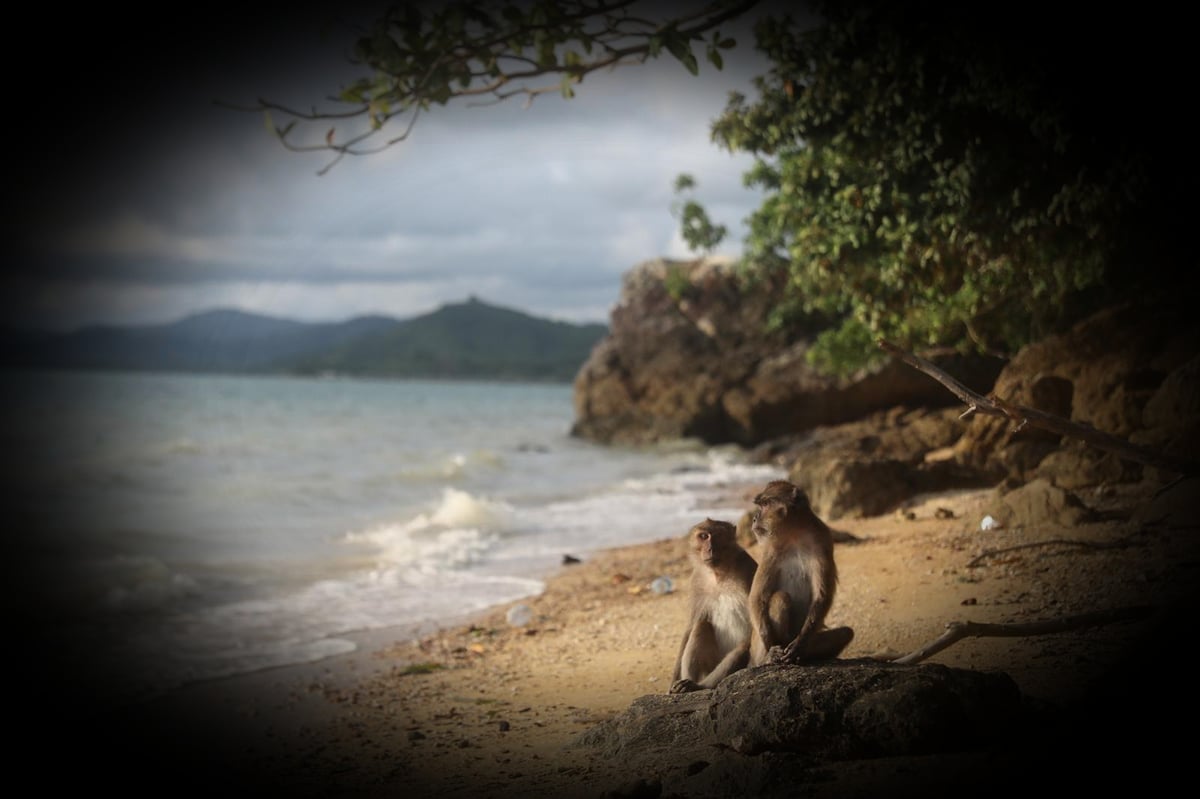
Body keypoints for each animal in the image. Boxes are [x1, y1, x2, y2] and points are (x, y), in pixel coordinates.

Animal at [672, 515, 753, 691]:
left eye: (718, 536)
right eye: (703, 536)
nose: (710, 549)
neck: (718, 574)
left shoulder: (748, 569)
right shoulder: (696, 581)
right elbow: (692, 625)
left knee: (743, 646)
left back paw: (699, 686)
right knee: (701, 626)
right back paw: (688, 683)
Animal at [748, 479, 854, 667]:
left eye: (765, 505)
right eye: (760, 505)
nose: (754, 518)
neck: (794, 535)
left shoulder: (822, 541)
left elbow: (822, 596)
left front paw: (799, 645)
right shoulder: (769, 550)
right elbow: (757, 598)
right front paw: (771, 651)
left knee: (846, 633)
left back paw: (804, 655)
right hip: (756, 649)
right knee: (780, 598)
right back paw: (770, 656)